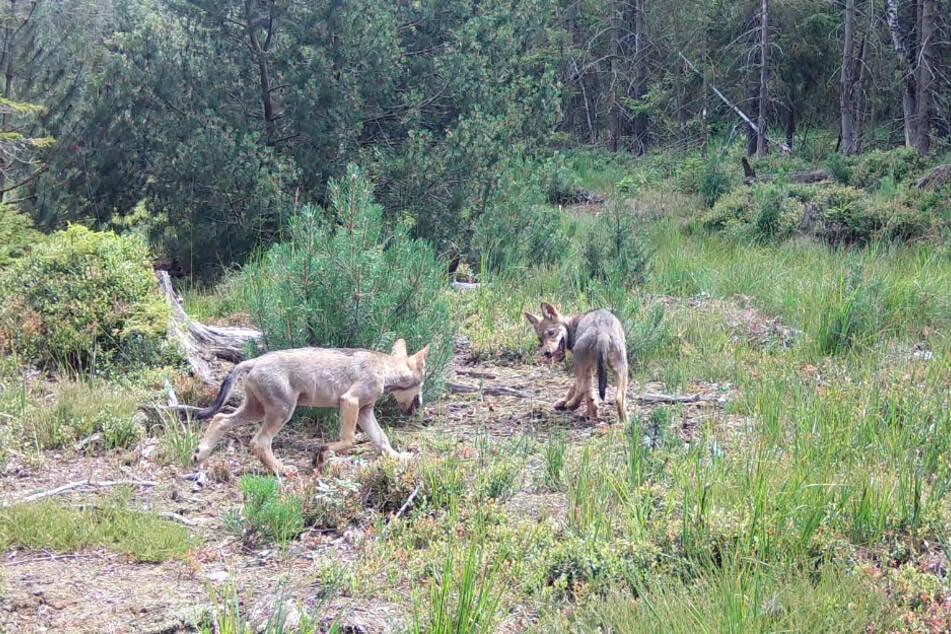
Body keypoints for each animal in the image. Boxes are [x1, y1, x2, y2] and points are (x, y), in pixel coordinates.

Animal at [184, 338, 430, 472]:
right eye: (422, 385)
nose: (420, 405)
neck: (384, 369)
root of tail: (252, 361)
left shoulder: (364, 411)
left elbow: (382, 441)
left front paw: (400, 457)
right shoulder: (349, 401)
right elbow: (348, 440)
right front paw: (321, 453)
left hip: (256, 411)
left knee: (220, 419)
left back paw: (200, 454)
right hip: (281, 413)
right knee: (259, 443)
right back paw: (282, 470)